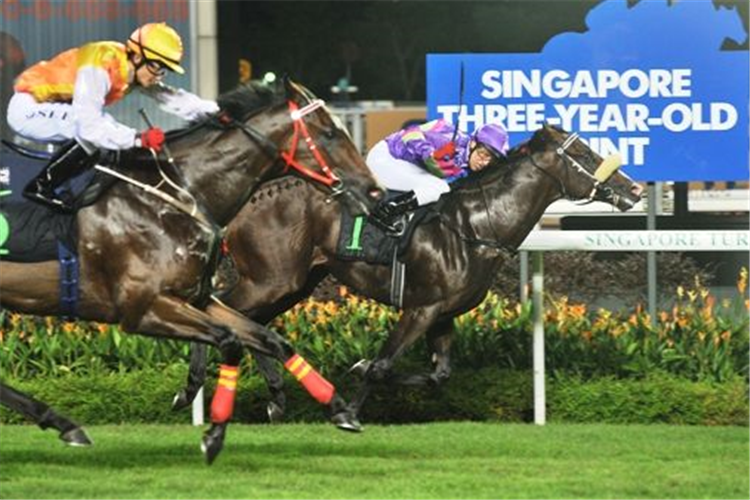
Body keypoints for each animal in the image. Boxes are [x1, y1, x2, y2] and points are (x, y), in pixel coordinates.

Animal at [0, 76, 384, 462]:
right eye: (330, 133)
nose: (375, 191)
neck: (173, 199)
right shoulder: (142, 309)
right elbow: (230, 342)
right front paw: (214, 433)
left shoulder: (195, 297)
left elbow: (271, 339)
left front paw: (339, 408)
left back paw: (62, 422)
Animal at [178, 122, 648, 422]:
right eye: (583, 153)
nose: (635, 189)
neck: (475, 227)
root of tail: (251, 198)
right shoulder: (421, 308)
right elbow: (383, 365)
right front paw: (351, 404)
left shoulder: (443, 314)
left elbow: (438, 376)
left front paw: (357, 370)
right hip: (271, 279)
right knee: (224, 313)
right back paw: (192, 389)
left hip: (294, 282)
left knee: (251, 324)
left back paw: (273, 398)